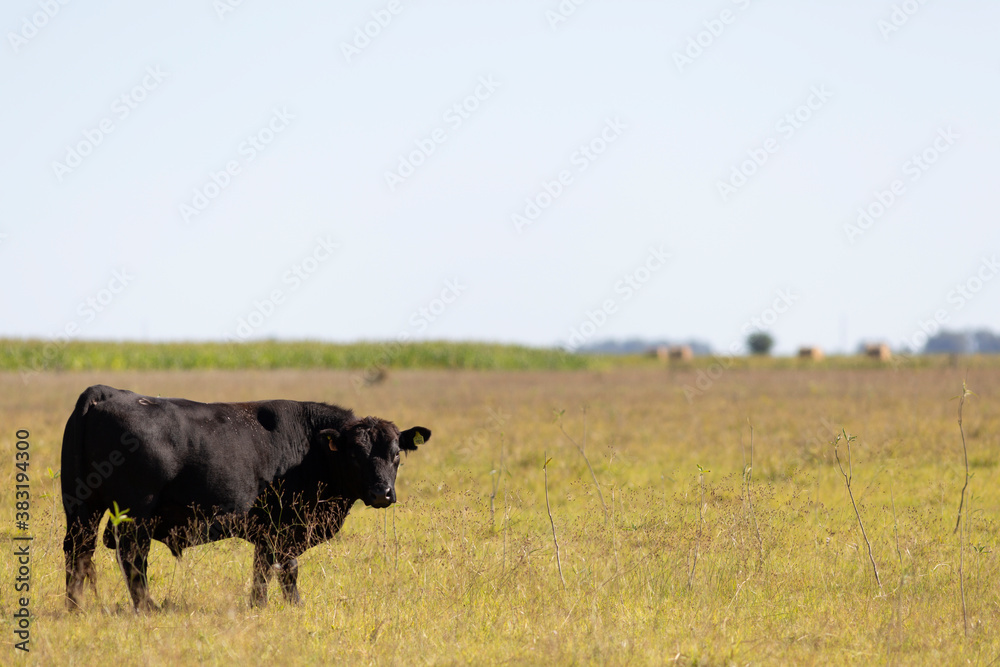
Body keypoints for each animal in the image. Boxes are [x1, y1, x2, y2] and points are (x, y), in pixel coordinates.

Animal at [61, 386, 430, 612]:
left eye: (397, 455)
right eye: (355, 455)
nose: (382, 493)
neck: (310, 449)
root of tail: (106, 393)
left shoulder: (269, 533)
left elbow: (265, 569)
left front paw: (264, 605)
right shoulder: (282, 528)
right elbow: (283, 569)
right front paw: (285, 606)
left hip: (81, 509)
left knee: (78, 553)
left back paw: (75, 607)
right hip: (133, 515)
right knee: (133, 558)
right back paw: (145, 607)